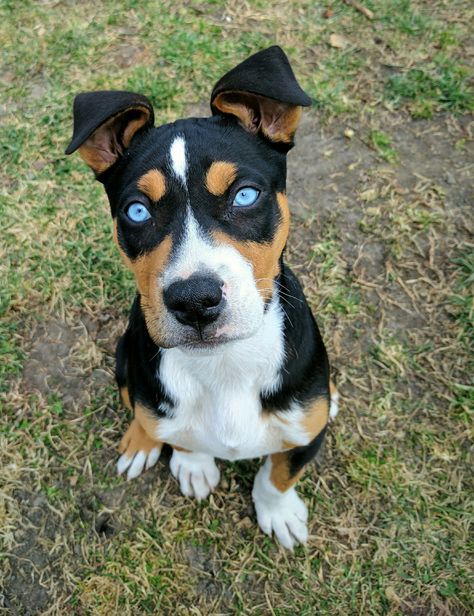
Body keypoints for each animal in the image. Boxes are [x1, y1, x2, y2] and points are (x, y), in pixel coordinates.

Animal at [67, 47, 340, 548]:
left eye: (246, 195)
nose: (195, 301)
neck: (224, 363)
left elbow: (279, 474)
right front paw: (193, 465)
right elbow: (183, 438)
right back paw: (141, 441)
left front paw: (278, 512)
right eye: (137, 210)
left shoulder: (307, 435)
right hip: (125, 356)